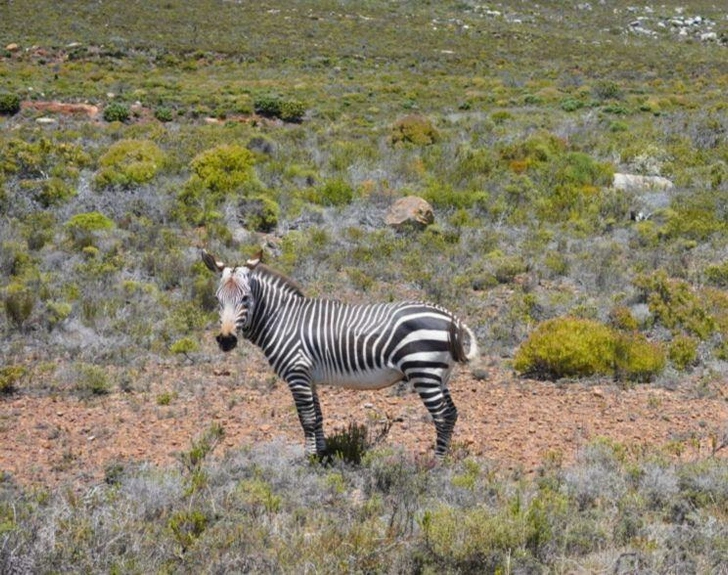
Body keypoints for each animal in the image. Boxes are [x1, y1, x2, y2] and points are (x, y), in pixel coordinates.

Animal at [202, 250, 480, 462]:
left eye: (245, 298)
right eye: (217, 299)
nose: (225, 340)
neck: (281, 319)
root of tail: (449, 316)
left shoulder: (297, 373)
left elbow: (306, 419)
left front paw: (309, 460)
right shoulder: (309, 376)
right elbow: (318, 416)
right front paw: (322, 454)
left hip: (423, 371)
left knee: (442, 416)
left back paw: (436, 464)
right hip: (439, 375)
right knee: (452, 413)